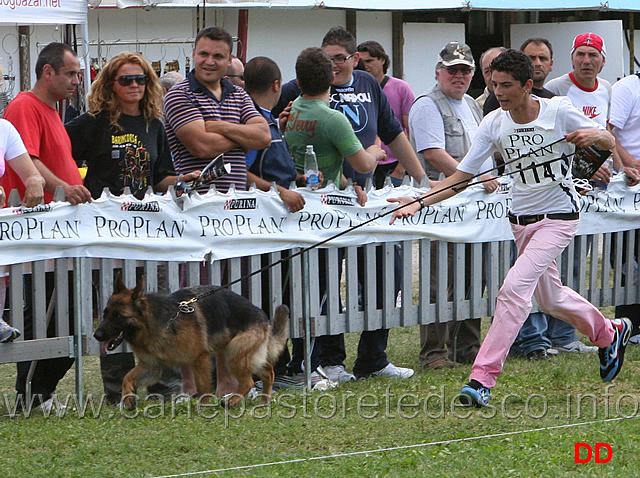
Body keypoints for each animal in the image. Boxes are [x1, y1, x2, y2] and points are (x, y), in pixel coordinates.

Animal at [93, 274, 290, 408]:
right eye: (105, 313)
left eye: (119, 316)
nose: (97, 335)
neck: (156, 322)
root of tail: (263, 317)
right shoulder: (152, 366)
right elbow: (127, 377)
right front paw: (128, 400)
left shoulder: (200, 359)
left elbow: (203, 387)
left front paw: (203, 407)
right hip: (243, 355)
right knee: (268, 370)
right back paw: (264, 401)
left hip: (234, 354)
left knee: (248, 381)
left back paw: (232, 401)